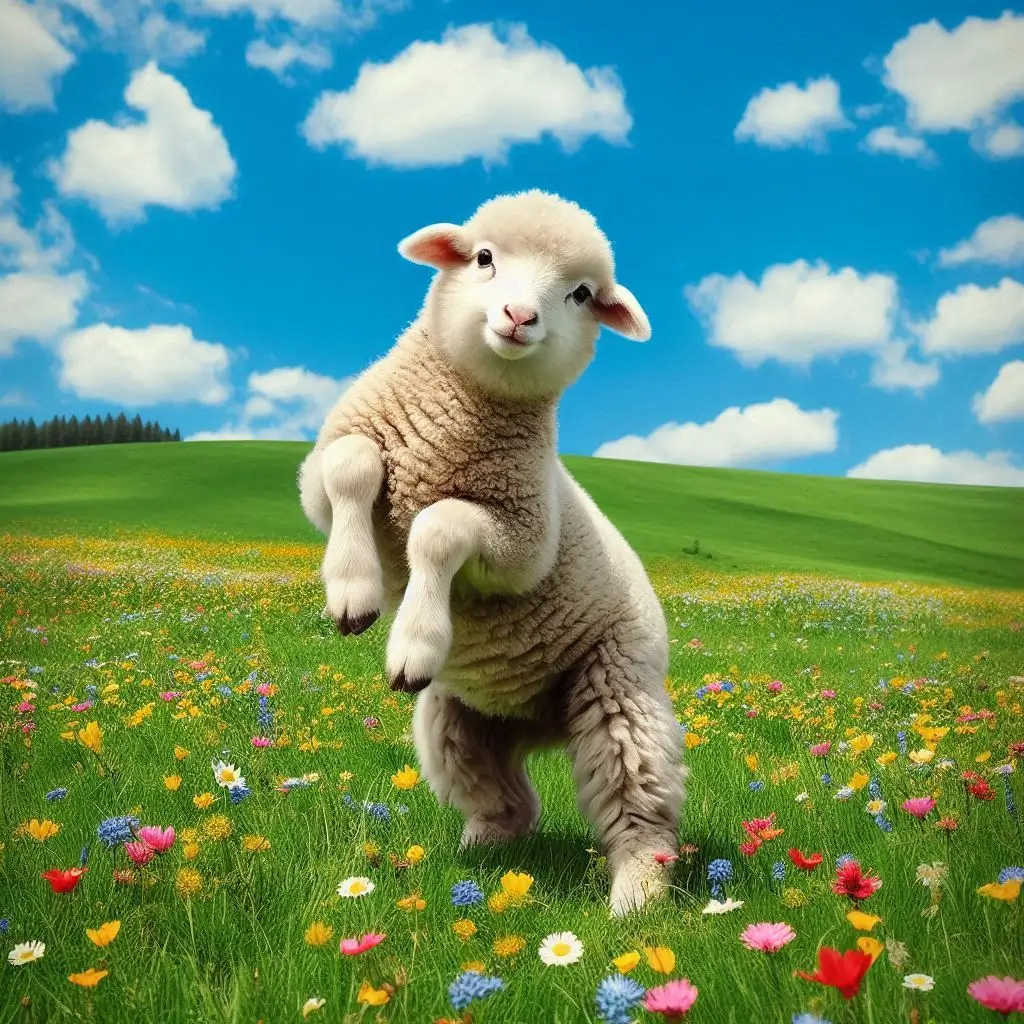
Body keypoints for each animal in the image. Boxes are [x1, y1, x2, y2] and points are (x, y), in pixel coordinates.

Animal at [297, 189, 685, 916]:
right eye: (483, 258)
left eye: (581, 294)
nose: (519, 316)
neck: (446, 432)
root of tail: (540, 728)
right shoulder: (324, 476)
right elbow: (351, 464)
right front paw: (353, 591)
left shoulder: (521, 542)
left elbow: (440, 526)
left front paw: (412, 639)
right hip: (454, 723)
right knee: (512, 802)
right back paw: (478, 852)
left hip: (620, 690)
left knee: (639, 806)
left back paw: (636, 896)